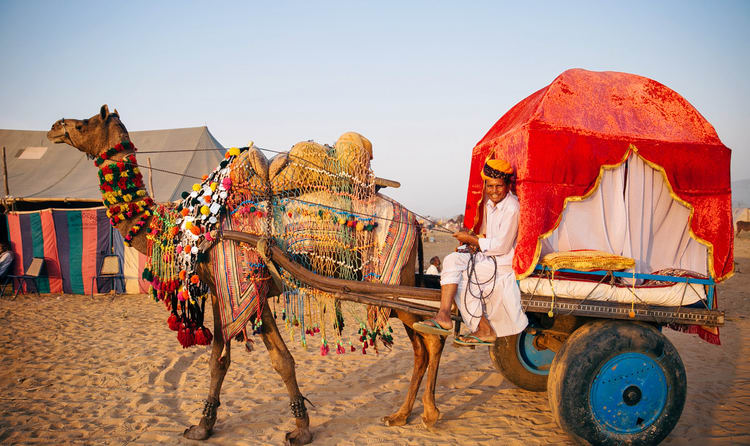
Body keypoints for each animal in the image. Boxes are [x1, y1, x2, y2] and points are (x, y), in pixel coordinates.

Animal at [48, 104, 452, 442]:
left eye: (85, 123)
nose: (55, 127)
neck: (188, 226)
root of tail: (417, 222)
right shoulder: (242, 287)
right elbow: (271, 360)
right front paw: (295, 426)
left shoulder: (236, 283)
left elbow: (226, 360)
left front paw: (205, 427)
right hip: (398, 288)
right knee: (423, 344)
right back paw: (400, 415)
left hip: (392, 283)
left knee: (433, 338)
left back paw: (429, 415)